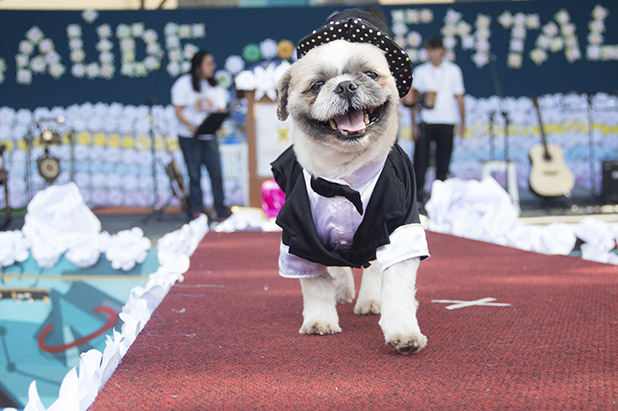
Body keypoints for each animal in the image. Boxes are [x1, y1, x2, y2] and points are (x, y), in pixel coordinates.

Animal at [270, 8, 428, 354]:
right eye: (317, 84)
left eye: (369, 74)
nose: (345, 86)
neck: (343, 176)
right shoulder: (299, 234)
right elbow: (316, 283)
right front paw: (320, 319)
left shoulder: (399, 225)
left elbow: (396, 285)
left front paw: (403, 332)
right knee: (336, 266)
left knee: (374, 267)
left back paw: (370, 300)